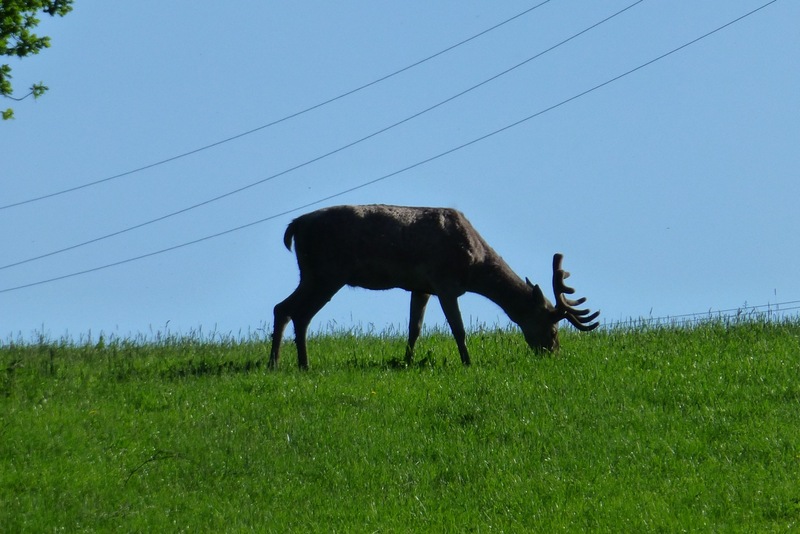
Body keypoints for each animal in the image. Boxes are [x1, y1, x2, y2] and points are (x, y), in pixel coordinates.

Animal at [268, 206, 600, 372]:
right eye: (552, 328)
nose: (554, 354)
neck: (475, 266)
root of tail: (294, 226)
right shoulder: (444, 282)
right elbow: (458, 328)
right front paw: (468, 362)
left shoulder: (421, 287)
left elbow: (414, 328)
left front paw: (407, 362)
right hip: (325, 273)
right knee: (293, 310)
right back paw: (289, 363)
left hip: (317, 274)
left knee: (287, 309)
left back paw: (290, 363)